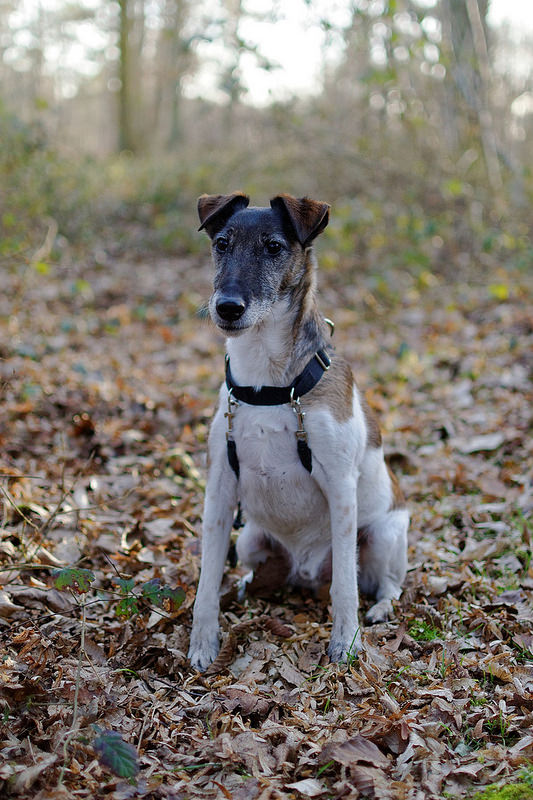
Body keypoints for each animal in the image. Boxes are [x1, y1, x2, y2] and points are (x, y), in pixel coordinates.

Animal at [187, 192, 408, 668]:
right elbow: (206, 582)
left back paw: (381, 608)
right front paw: (202, 642)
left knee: (388, 584)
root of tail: (305, 572)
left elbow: (345, 586)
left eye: (274, 247)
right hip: (250, 539)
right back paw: (247, 588)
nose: (227, 307)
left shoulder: (341, 487)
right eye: (221, 244)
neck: (267, 383)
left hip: (383, 534)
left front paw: (347, 642)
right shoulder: (220, 488)